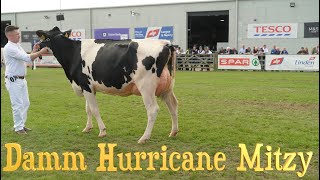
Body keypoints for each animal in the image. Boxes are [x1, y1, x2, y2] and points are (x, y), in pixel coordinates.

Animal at [36, 26, 179, 143]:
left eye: (44, 37)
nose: (37, 46)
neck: (73, 53)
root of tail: (165, 43)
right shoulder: (87, 86)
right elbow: (88, 109)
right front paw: (87, 128)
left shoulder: (85, 84)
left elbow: (94, 109)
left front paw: (102, 131)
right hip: (167, 87)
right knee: (173, 106)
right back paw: (173, 132)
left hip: (146, 86)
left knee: (152, 110)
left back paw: (144, 138)